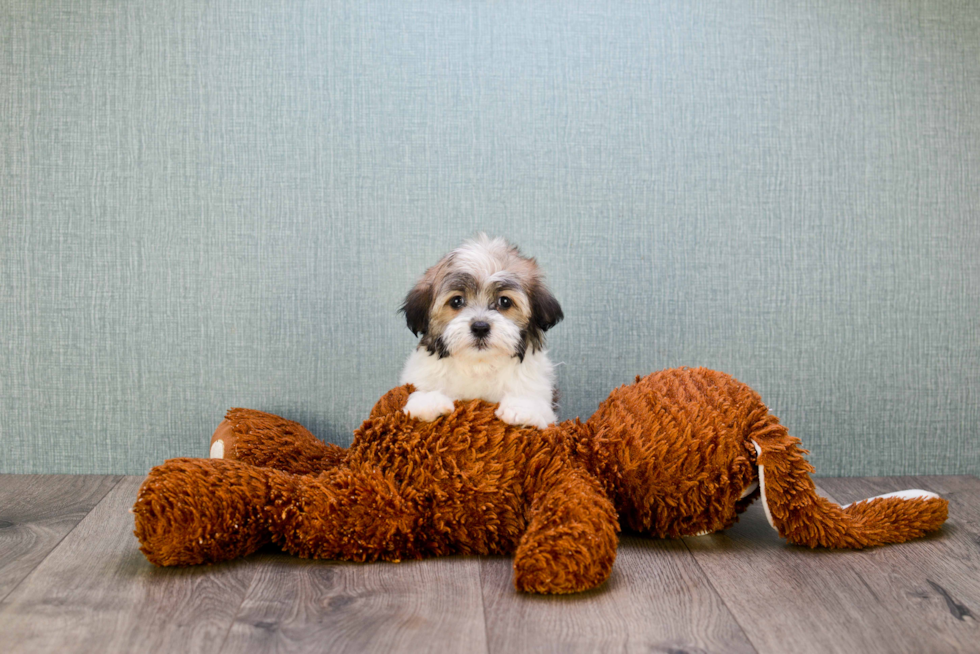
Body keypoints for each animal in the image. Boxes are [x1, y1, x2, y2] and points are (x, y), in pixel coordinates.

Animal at [400, 236, 568, 430]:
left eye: (504, 301)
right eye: (457, 301)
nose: (480, 327)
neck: (479, 365)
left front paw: (522, 409)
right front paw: (428, 402)